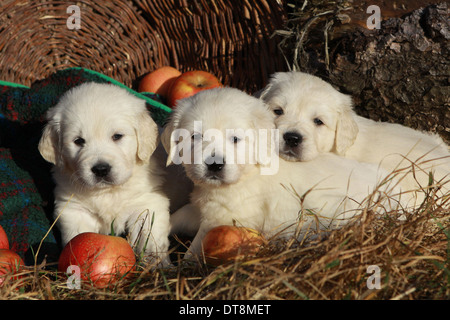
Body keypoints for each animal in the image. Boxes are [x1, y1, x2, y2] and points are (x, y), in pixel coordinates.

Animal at [38, 83, 171, 264]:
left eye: (117, 136)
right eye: (78, 141)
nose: (101, 169)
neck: (108, 192)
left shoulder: (148, 202)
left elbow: (150, 237)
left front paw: (156, 263)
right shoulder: (73, 209)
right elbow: (77, 234)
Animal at [163, 86, 404, 256]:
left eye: (235, 139)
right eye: (195, 137)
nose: (214, 164)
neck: (249, 172)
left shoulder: (222, 218)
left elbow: (194, 251)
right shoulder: (202, 207)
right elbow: (178, 215)